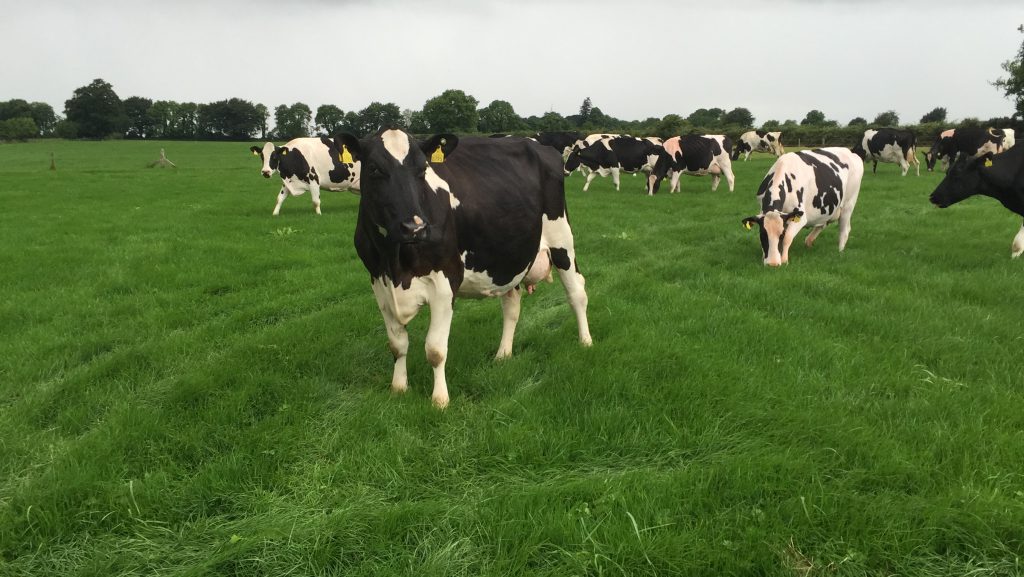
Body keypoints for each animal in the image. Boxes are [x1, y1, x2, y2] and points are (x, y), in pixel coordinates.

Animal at [335, 129, 592, 408]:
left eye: (422, 169)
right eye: (374, 168)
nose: (415, 227)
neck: (395, 261)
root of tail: (536, 143)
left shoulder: (444, 283)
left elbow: (435, 350)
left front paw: (440, 400)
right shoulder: (379, 283)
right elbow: (397, 344)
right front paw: (399, 388)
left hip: (561, 239)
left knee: (577, 293)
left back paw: (586, 342)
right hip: (508, 256)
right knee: (512, 306)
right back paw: (503, 354)